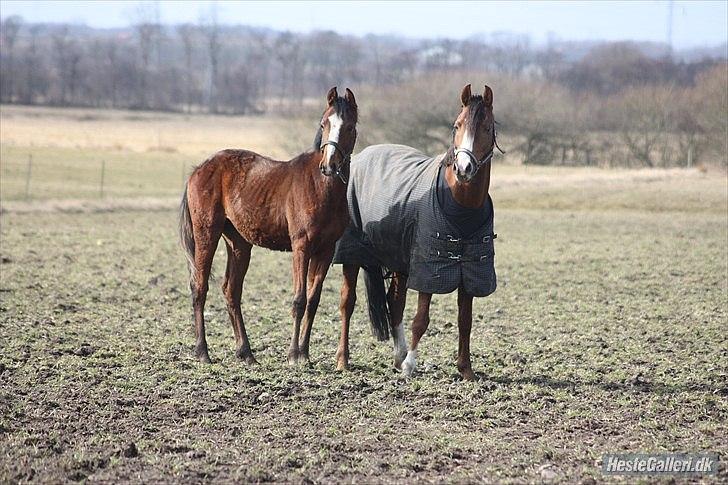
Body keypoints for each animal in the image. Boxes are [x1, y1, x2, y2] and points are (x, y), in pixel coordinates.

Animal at [178, 87, 356, 364]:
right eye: (323, 124)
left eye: (349, 126)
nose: (329, 166)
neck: (321, 187)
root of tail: (200, 169)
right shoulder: (301, 247)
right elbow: (299, 300)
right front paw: (294, 355)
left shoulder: (325, 251)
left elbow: (313, 300)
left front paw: (305, 353)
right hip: (206, 234)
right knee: (199, 286)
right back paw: (203, 352)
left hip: (239, 243)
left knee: (231, 291)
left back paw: (246, 353)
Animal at [334, 84, 500, 378]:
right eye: (456, 126)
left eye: (487, 127)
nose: (464, 169)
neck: (460, 205)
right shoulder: (429, 268)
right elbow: (421, 319)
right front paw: (410, 365)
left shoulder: (470, 269)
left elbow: (465, 320)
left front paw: (466, 370)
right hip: (353, 256)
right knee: (347, 303)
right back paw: (344, 360)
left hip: (400, 261)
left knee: (395, 302)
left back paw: (398, 355)